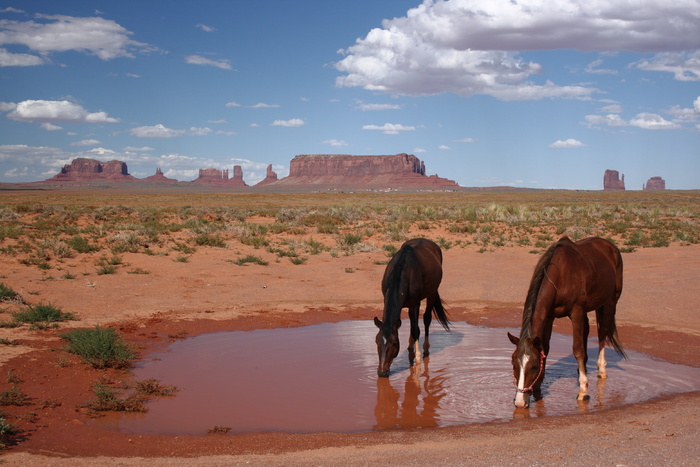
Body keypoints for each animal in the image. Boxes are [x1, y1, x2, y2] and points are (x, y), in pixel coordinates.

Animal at [374, 238, 450, 378]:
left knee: (426, 319)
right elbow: (412, 326)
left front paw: (418, 359)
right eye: (377, 341)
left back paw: (425, 347)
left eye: (394, 343)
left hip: (431, 293)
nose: (382, 372)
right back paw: (410, 346)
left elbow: (416, 329)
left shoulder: (415, 304)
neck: (403, 272)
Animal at [507, 236, 626, 408]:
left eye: (534, 366)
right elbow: (546, 348)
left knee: (602, 333)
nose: (520, 402)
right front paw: (538, 387)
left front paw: (583, 391)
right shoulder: (549, 316)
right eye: (514, 364)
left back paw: (601, 370)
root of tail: (610, 246)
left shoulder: (576, 312)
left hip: (610, 302)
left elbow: (577, 349)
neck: (560, 276)